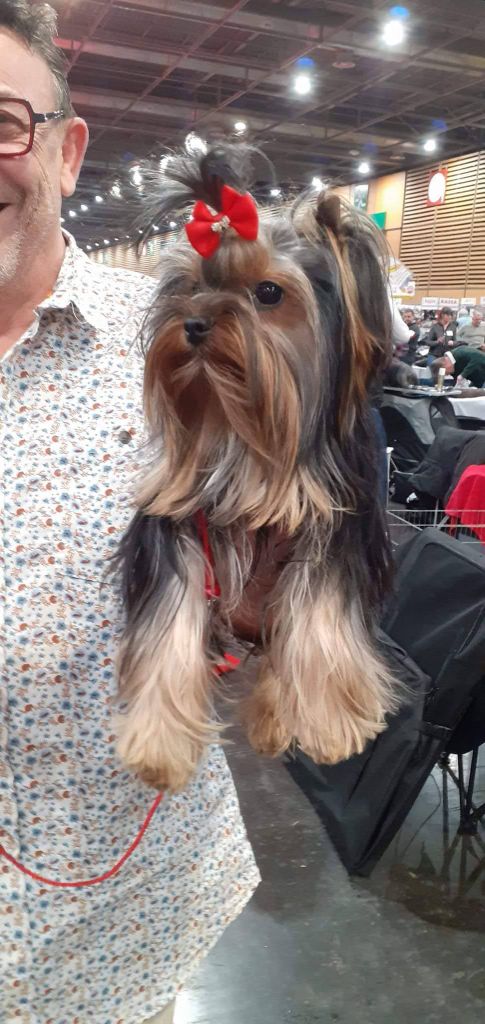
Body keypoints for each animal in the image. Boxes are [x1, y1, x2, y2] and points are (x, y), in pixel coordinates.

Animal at [112, 144, 399, 792]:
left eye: (268, 292)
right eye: (190, 287)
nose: (193, 323)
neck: (246, 436)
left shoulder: (339, 522)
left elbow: (320, 613)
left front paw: (329, 724)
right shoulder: (179, 520)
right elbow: (169, 619)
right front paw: (159, 741)